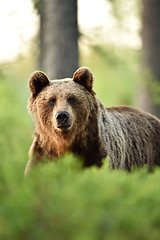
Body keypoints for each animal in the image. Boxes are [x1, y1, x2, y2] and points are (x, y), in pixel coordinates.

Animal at [25, 65, 160, 174]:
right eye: (52, 100)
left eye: (71, 98)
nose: (62, 115)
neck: (65, 143)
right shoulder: (43, 153)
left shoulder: (96, 151)